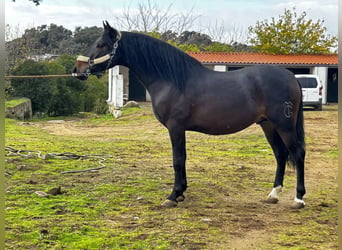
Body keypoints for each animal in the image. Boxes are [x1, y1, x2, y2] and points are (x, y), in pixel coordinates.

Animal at [73, 21, 306, 209]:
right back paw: (273, 194)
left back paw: (299, 198)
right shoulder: (179, 128)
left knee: (298, 154)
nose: (77, 70)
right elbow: (182, 158)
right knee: (280, 154)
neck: (172, 80)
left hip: (283, 125)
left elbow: (178, 159)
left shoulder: (175, 127)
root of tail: (291, 77)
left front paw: (173, 196)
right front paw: (181, 193)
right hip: (267, 125)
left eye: (101, 44)